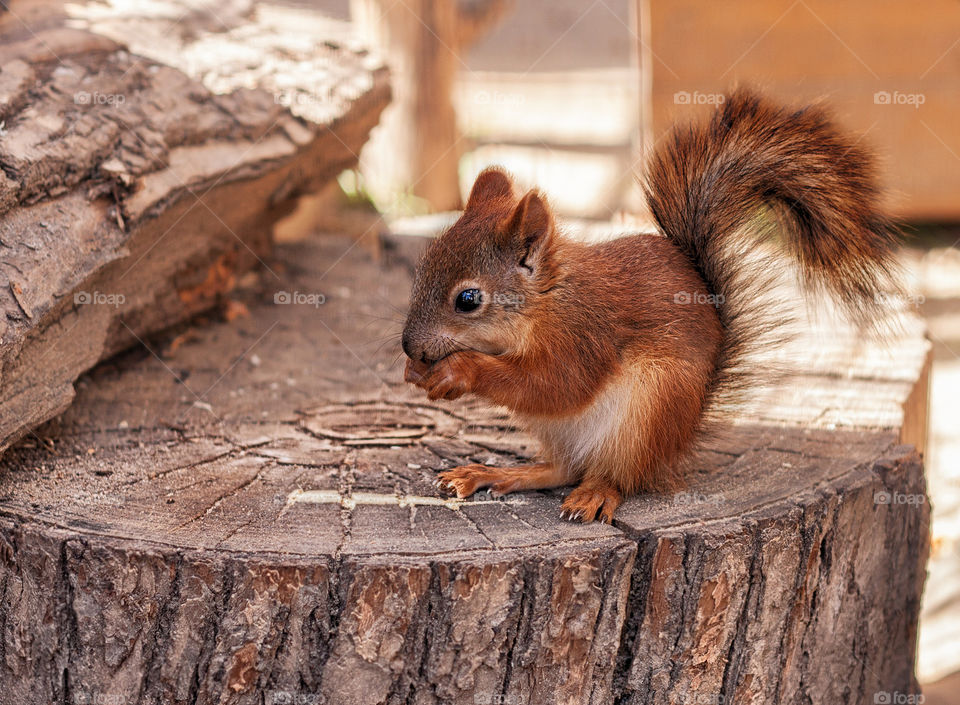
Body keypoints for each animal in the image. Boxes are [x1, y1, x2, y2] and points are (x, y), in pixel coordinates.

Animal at [400, 88, 899, 523]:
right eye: (423, 265)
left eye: (468, 300)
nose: (409, 347)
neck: (544, 304)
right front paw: (416, 373)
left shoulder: (585, 335)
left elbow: (555, 385)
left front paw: (457, 370)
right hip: (563, 430)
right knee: (564, 469)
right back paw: (494, 473)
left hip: (649, 410)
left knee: (617, 476)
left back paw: (595, 493)